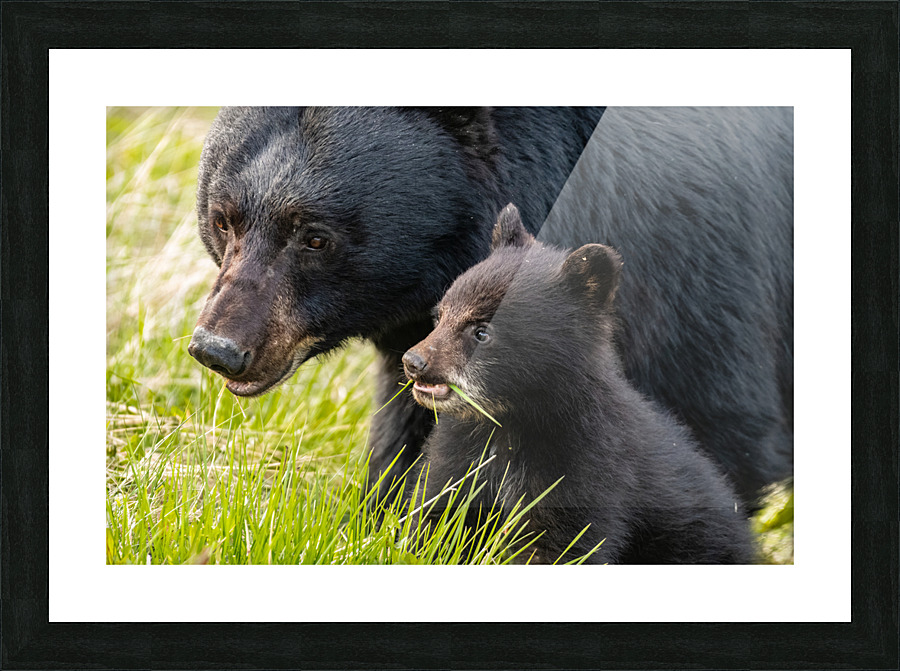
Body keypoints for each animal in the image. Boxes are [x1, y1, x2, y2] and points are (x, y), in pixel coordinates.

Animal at [401, 204, 754, 564]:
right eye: (440, 314)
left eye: (482, 331)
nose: (414, 362)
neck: (510, 423)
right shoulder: (459, 454)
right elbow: (437, 517)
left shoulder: (585, 465)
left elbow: (559, 544)